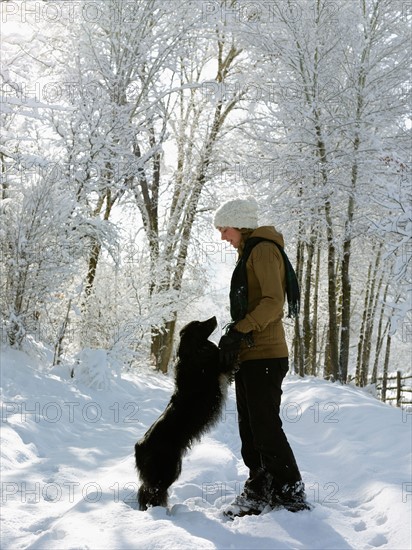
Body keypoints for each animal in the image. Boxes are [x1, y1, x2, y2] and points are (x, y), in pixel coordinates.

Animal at [135, 320, 235, 512]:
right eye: (199, 325)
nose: (214, 318)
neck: (193, 357)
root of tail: (139, 446)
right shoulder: (218, 368)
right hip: (168, 469)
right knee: (152, 491)